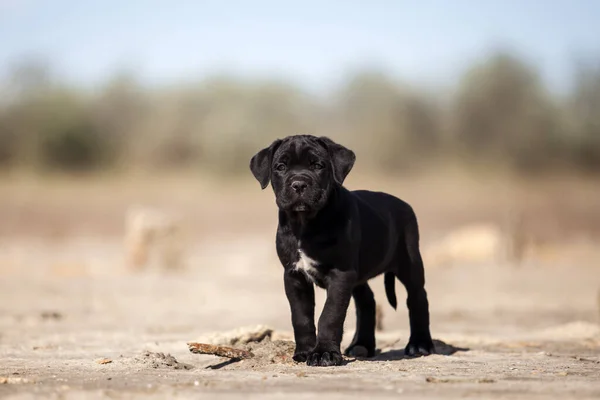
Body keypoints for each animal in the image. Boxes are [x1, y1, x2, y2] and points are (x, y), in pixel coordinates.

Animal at [250, 134, 436, 366]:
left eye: (318, 165)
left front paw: (324, 353)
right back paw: (362, 345)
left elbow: (330, 315)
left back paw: (420, 344)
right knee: (367, 300)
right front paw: (305, 351)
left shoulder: (340, 274)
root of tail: (403, 203)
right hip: (359, 274)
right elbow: (301, 317)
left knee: (417, 297)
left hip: (408, 262)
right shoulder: (294, 276)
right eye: (281, 167)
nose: (299, 184)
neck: (305, 224)